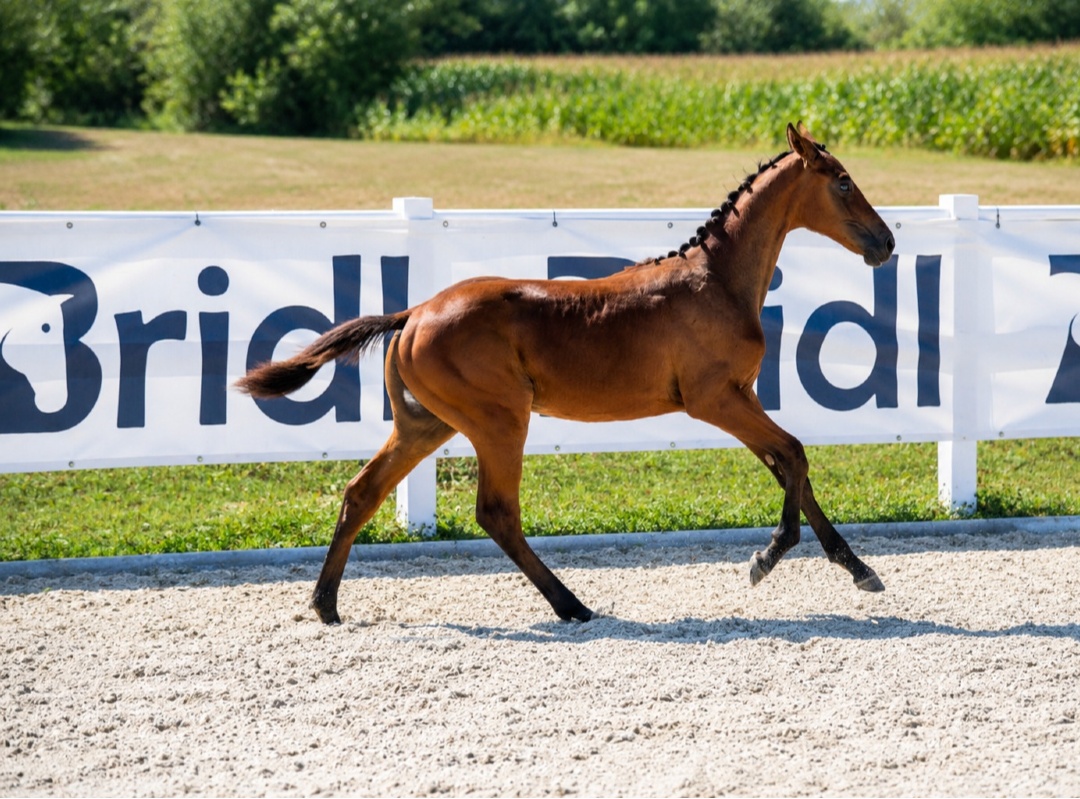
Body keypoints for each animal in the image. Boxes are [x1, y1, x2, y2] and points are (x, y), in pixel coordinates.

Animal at [237, 122, 896, 625]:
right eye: (842, 180)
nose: (886, 242)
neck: (716, 283)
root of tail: (413, 313)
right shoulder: (715, 399)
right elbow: (796, 454)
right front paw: (767, 557)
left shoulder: (742, 396)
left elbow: (790, 467)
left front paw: (859, 569)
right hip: (499, 420)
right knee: (496, 512)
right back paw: (571, 604)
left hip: (426, 424)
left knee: (362, 492)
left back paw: (325, 604)